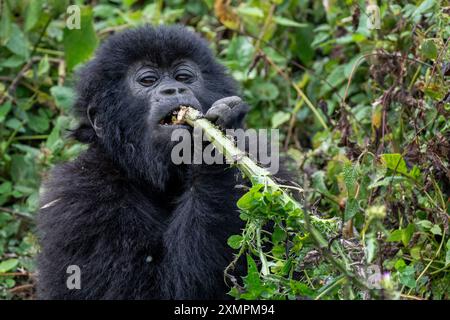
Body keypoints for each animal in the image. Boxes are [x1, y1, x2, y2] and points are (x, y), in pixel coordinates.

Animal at [37, 25, 250, 300]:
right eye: (148, 80)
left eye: (183, 77)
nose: (174, 90)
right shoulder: (80, 198)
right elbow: (149, 289)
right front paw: (210, 148)